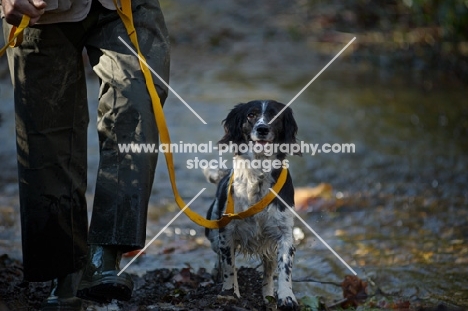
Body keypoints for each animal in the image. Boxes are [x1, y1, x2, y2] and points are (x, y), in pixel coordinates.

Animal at [205, 100, 300, 311]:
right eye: (251, 115)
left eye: (275, 115)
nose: (262, 128)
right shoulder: (226, 233)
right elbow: (229, 267)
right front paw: (230, 292)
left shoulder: (284, 233)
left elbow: (285, 267)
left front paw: (286, 296)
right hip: (213, 234)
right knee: (219, 259)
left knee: (268, 272)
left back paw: (268, 296)